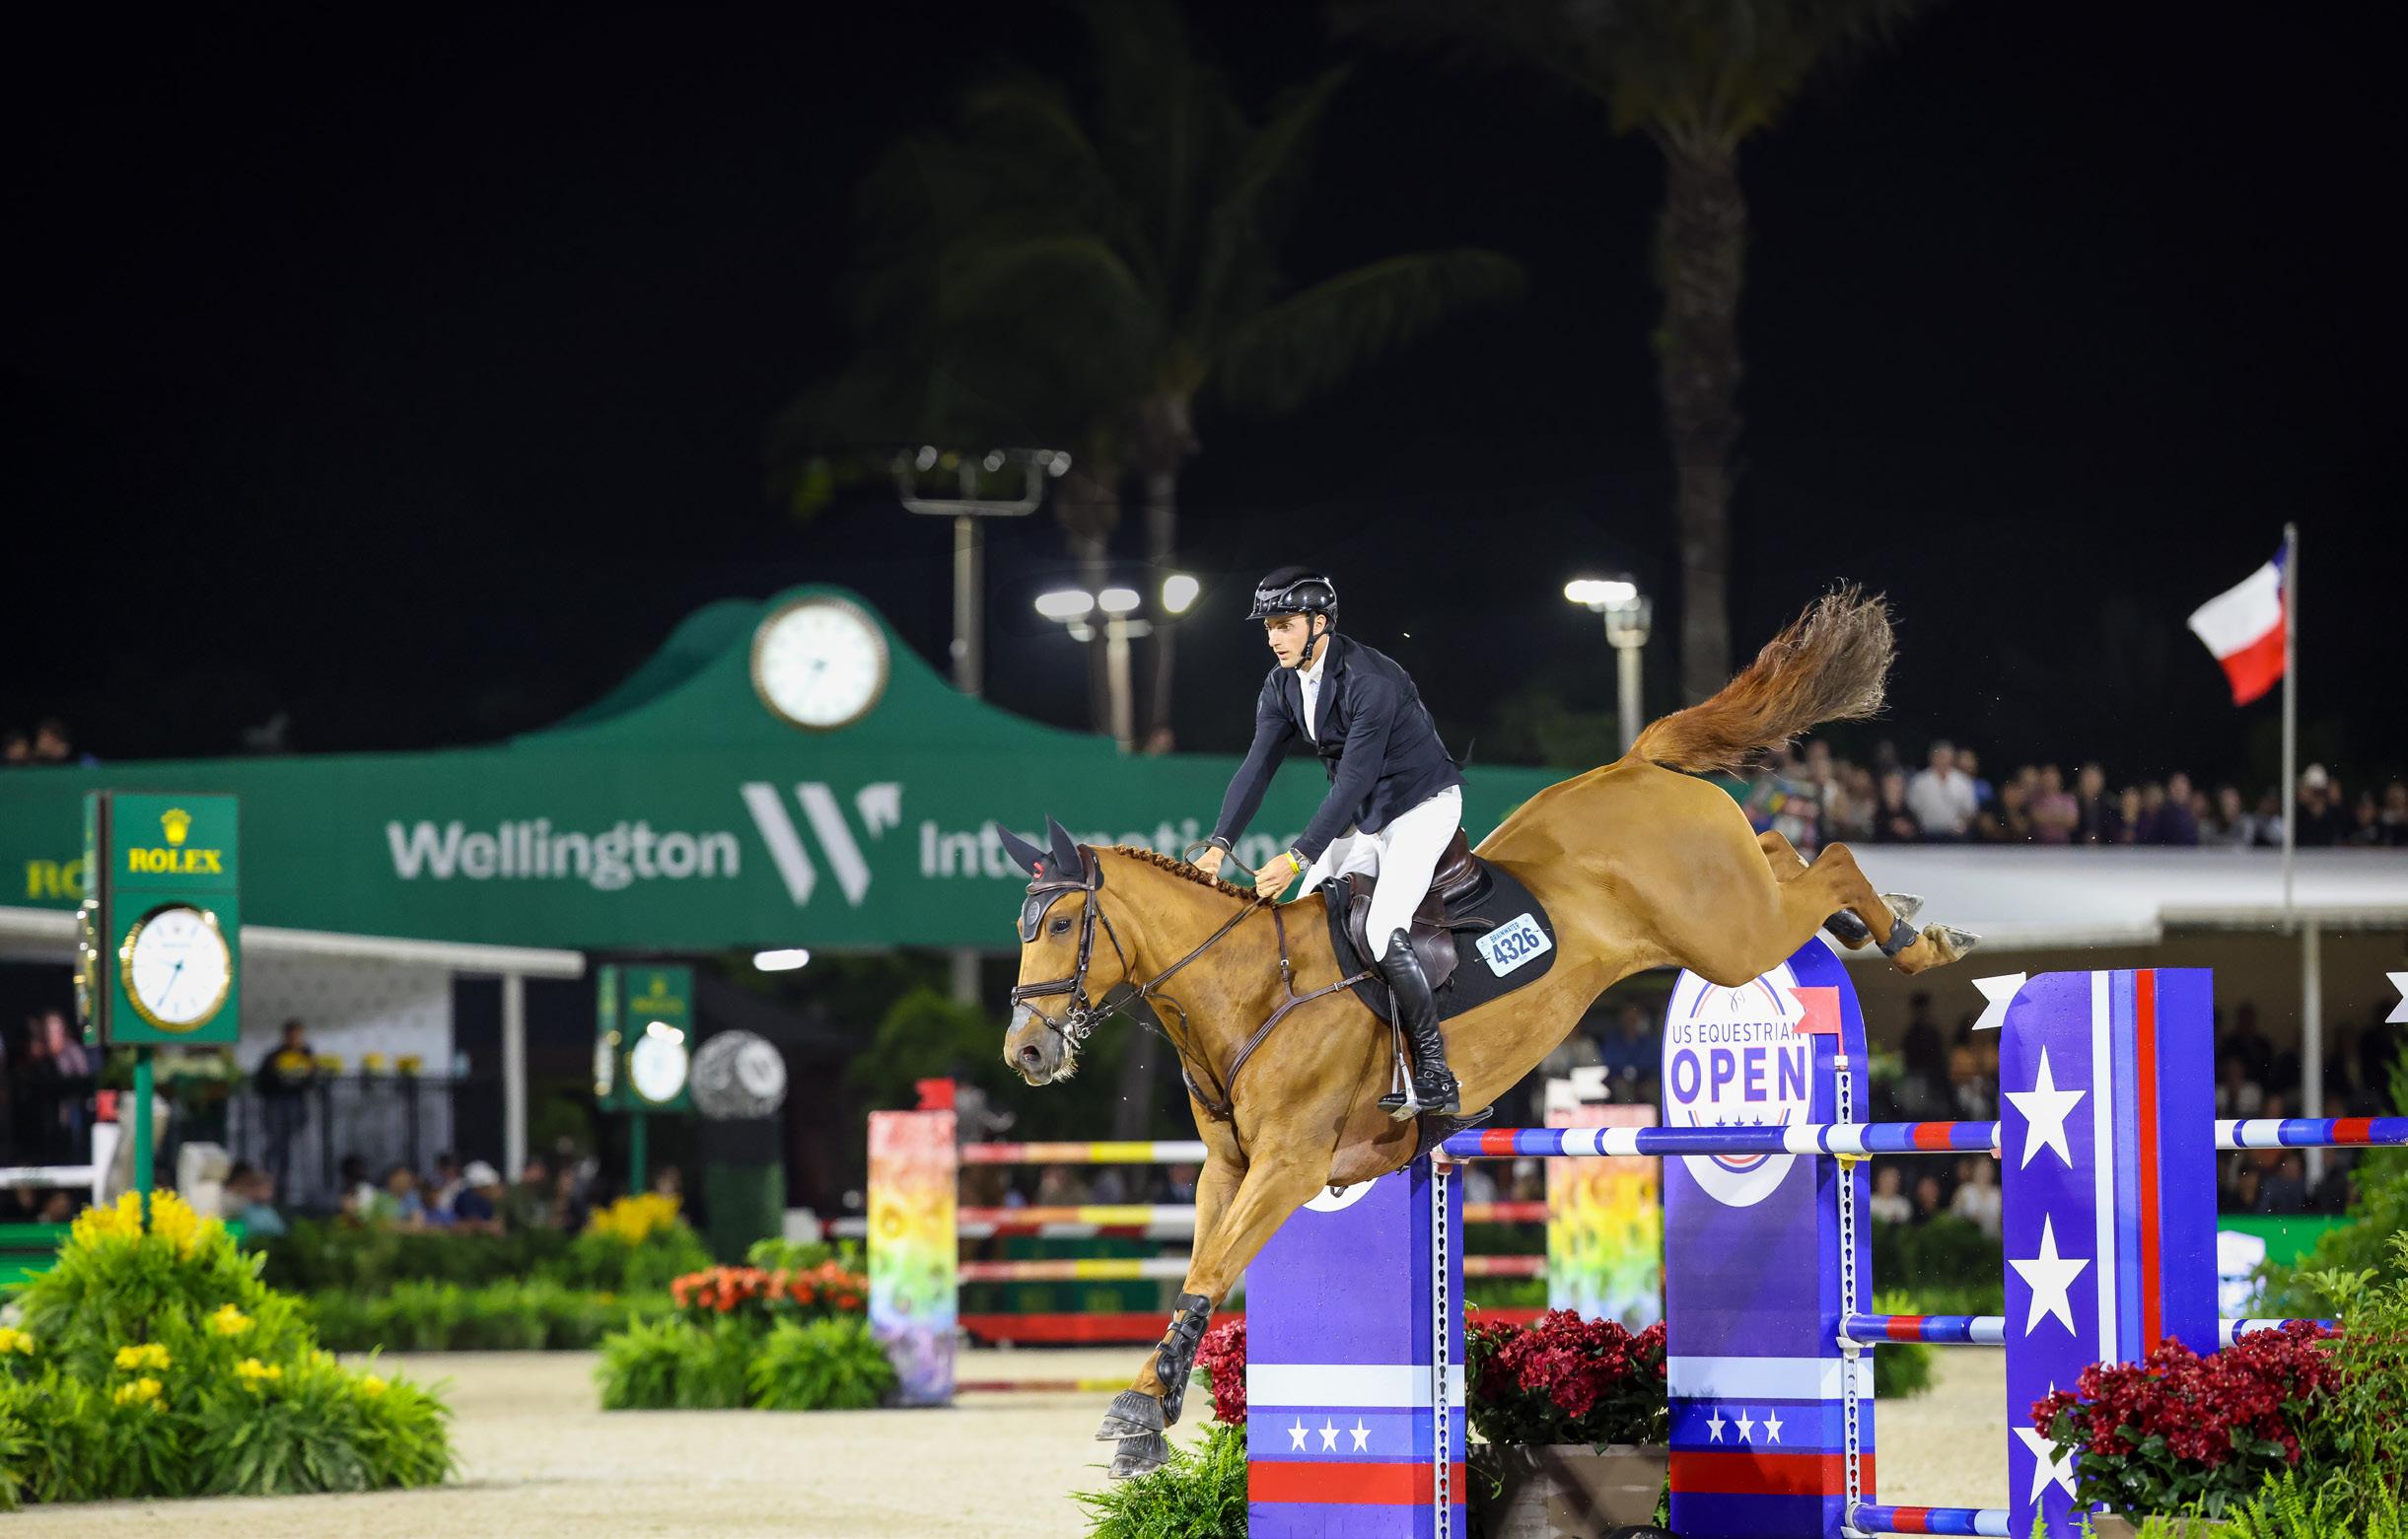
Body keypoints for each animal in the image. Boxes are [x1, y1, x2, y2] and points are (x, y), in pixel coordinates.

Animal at [993, 589, 1975, 1477]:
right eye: (1021, 927)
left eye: (1057, 925)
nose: (1024, 1053)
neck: (1246, 988)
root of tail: (1636, 762)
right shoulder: (1229, 1169)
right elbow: (1199, 1267)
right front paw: (1149, 1409)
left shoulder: (1289, 1167)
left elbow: (1213, 1267)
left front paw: (1138, 1415)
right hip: (1730, 911)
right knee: (1779, 850)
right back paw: (1871, 918)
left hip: (1729, 939)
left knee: (1832, 862)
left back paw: (1915, 936)